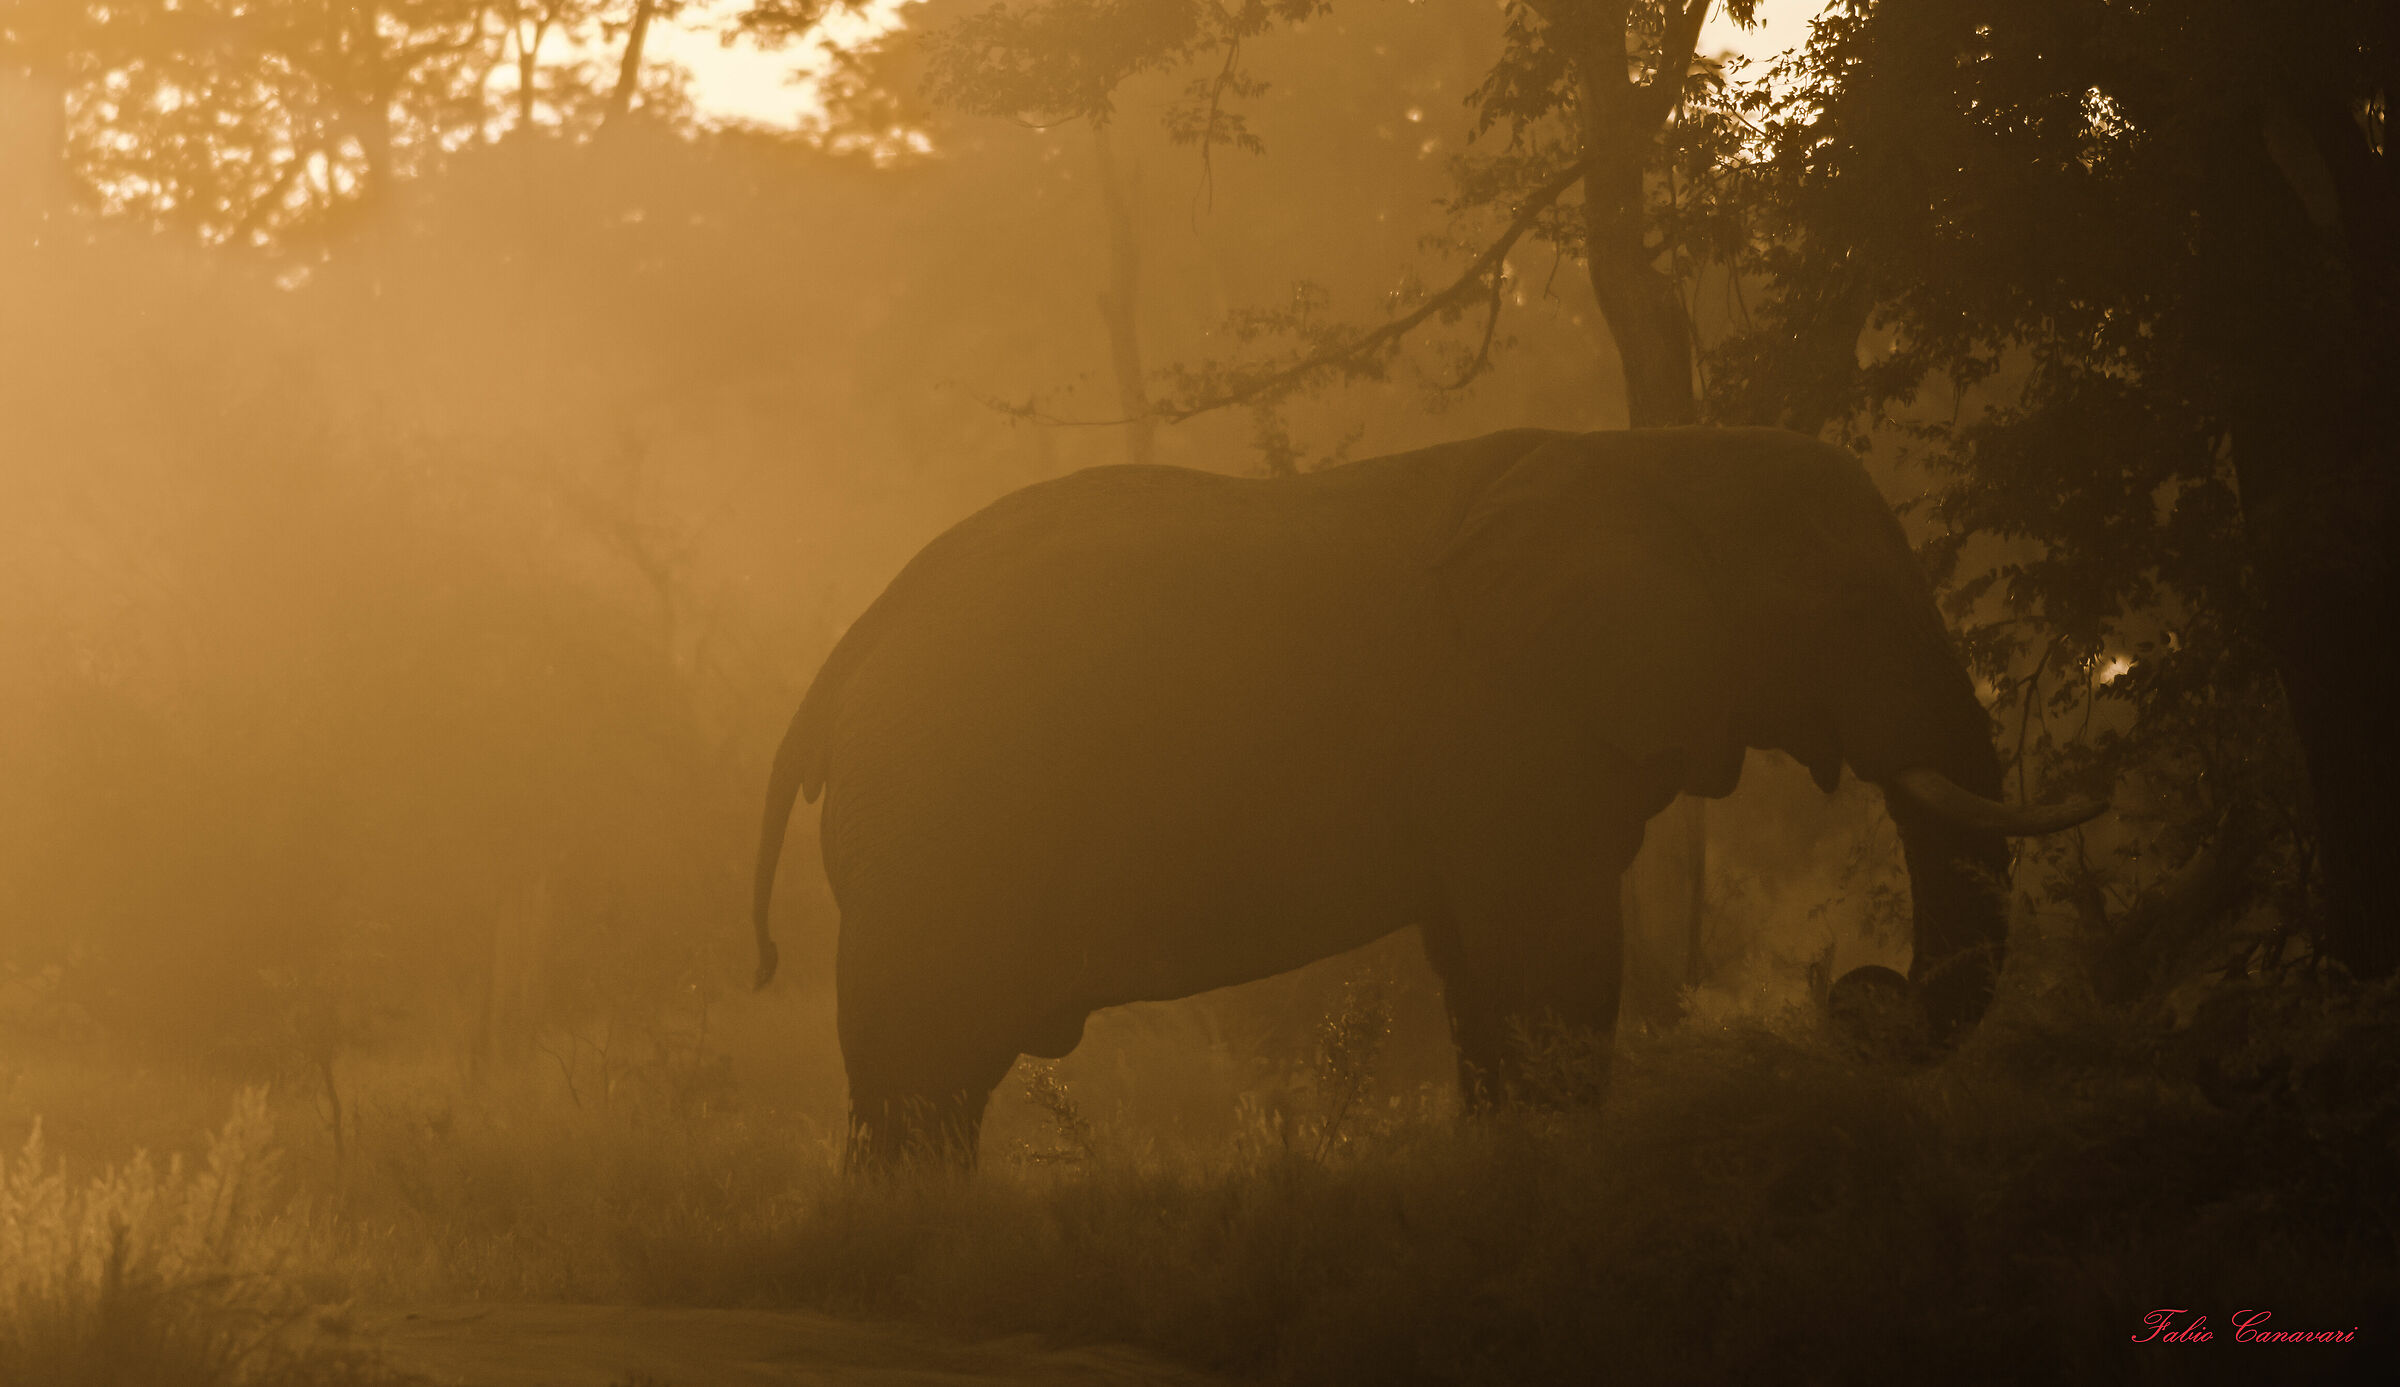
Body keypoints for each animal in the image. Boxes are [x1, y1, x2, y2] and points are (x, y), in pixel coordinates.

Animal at [750, 427, 2103, 1166]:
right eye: (1859, 608)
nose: (1857, 998)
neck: (1660, 455)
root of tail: (845, 658)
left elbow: (1484, 970)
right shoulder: (1513, 723)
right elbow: (1552, 957)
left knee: (929, 1079)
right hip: (942, 826)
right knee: (921, 1065)